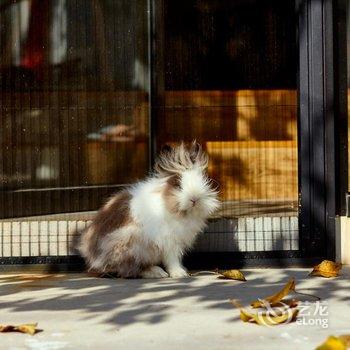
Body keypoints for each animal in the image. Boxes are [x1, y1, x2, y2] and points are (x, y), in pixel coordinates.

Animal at [78, 141, 219, 278]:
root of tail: (95, 261)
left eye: (205, 180)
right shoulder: (168, 241)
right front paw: (179, 273)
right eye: (178, 185)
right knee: (129, 269)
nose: (194, 199)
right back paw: (156, 272)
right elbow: (172, 259)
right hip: (131, 243)